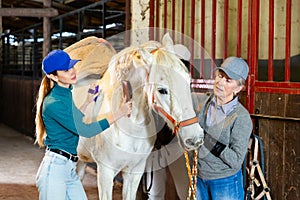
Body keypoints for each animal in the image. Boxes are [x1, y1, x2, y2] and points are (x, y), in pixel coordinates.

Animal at [67, 33, 204, 199]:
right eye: (162, 90)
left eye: (188, 82)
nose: (194, 138)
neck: (129, 126)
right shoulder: (105, 172)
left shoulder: (135, 172)